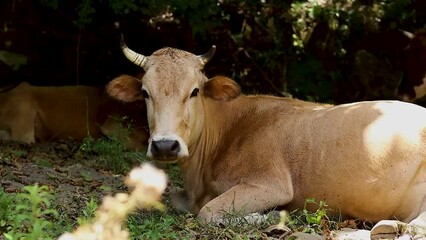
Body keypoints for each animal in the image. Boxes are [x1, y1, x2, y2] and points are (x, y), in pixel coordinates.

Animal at [107, 41, 426, 225]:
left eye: (195, 91)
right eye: (145, 93)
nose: (165, 146)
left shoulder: (270, 183)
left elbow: (208, 212)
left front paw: (268, 216)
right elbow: (174, 199)